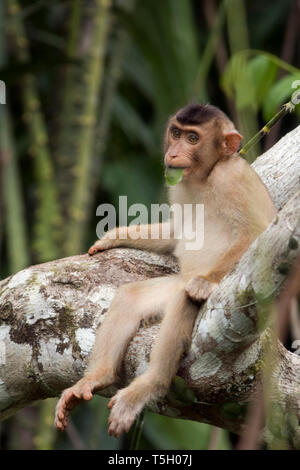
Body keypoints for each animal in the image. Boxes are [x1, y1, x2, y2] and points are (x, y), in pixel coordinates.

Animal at [54, 103, 276, 436]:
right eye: (176, 133)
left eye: (193, 138)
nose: (173, 152)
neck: (205, 176)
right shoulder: (179, 187)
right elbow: (176, 232)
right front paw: (115, 235)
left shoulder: (233, 178)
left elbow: (256, 233)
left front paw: (206, 281)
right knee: (132, 297)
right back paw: (97, 377)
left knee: (185, 299)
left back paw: (149, 386)